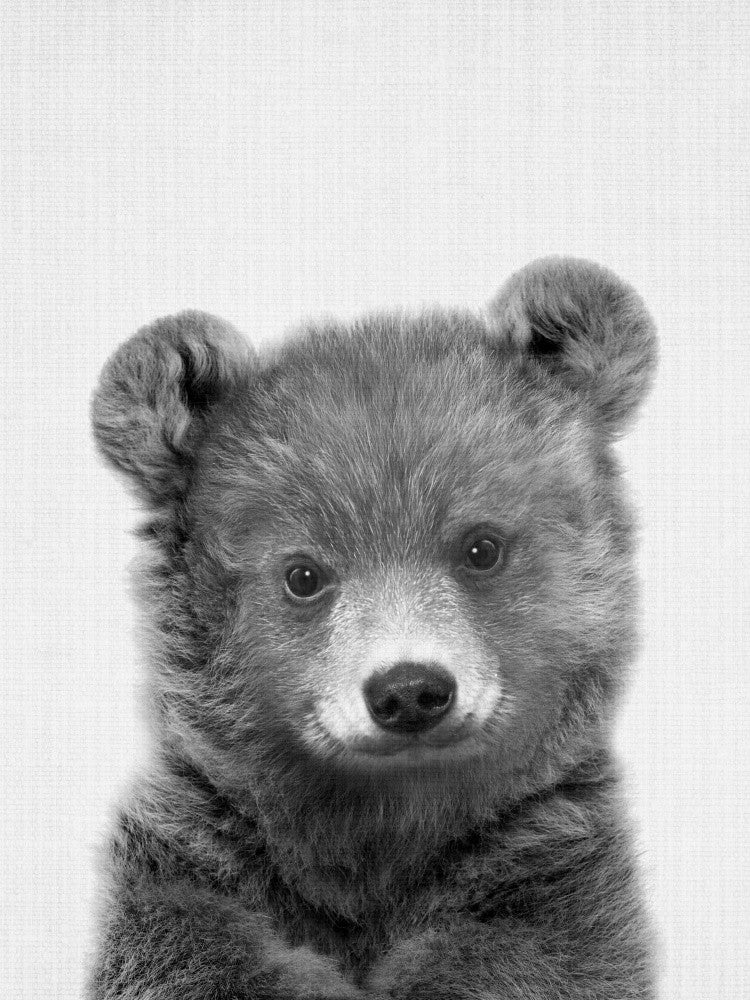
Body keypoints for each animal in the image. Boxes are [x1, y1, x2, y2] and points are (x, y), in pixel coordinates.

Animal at [88, 257, 657, 1000]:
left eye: (481, 546)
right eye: (303, 574)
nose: (409, 691)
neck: (380, 832)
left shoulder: (549, 875)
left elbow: (536, 957)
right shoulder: (196, 862)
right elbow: (190, 947)